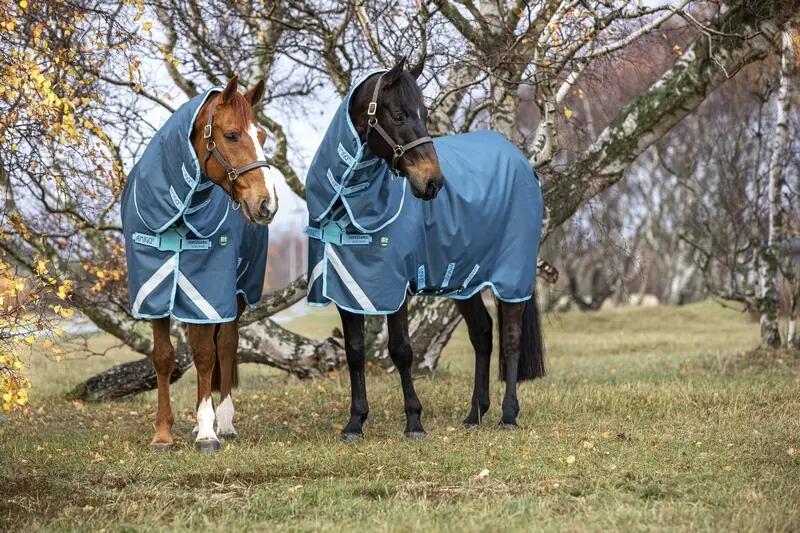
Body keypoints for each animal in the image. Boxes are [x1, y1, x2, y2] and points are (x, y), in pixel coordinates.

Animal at [120, 75, 278, 452]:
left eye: (262, 136)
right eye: (232, 135)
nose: (267, 203)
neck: (178, 216)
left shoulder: (207, 287)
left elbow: (208, 355)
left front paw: (208, 432)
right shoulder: (156, 291)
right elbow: (164, 357)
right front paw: (163, 434)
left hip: (235, 292)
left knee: (226, 346)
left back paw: (224, 422)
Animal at [305, 58, 547, 441]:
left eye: (424, 112)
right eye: (398, 114)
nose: (433, 183)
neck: (349, 205)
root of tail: (524, 164)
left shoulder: (396, 286)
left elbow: (401, 351)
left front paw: (414, 422)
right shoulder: (346, 287)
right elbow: (355, 352)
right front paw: (355, 422)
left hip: (512, 276)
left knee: (510, 338)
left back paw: (508, 415)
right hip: (465, 281)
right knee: (482, 334)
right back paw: (475, 413)